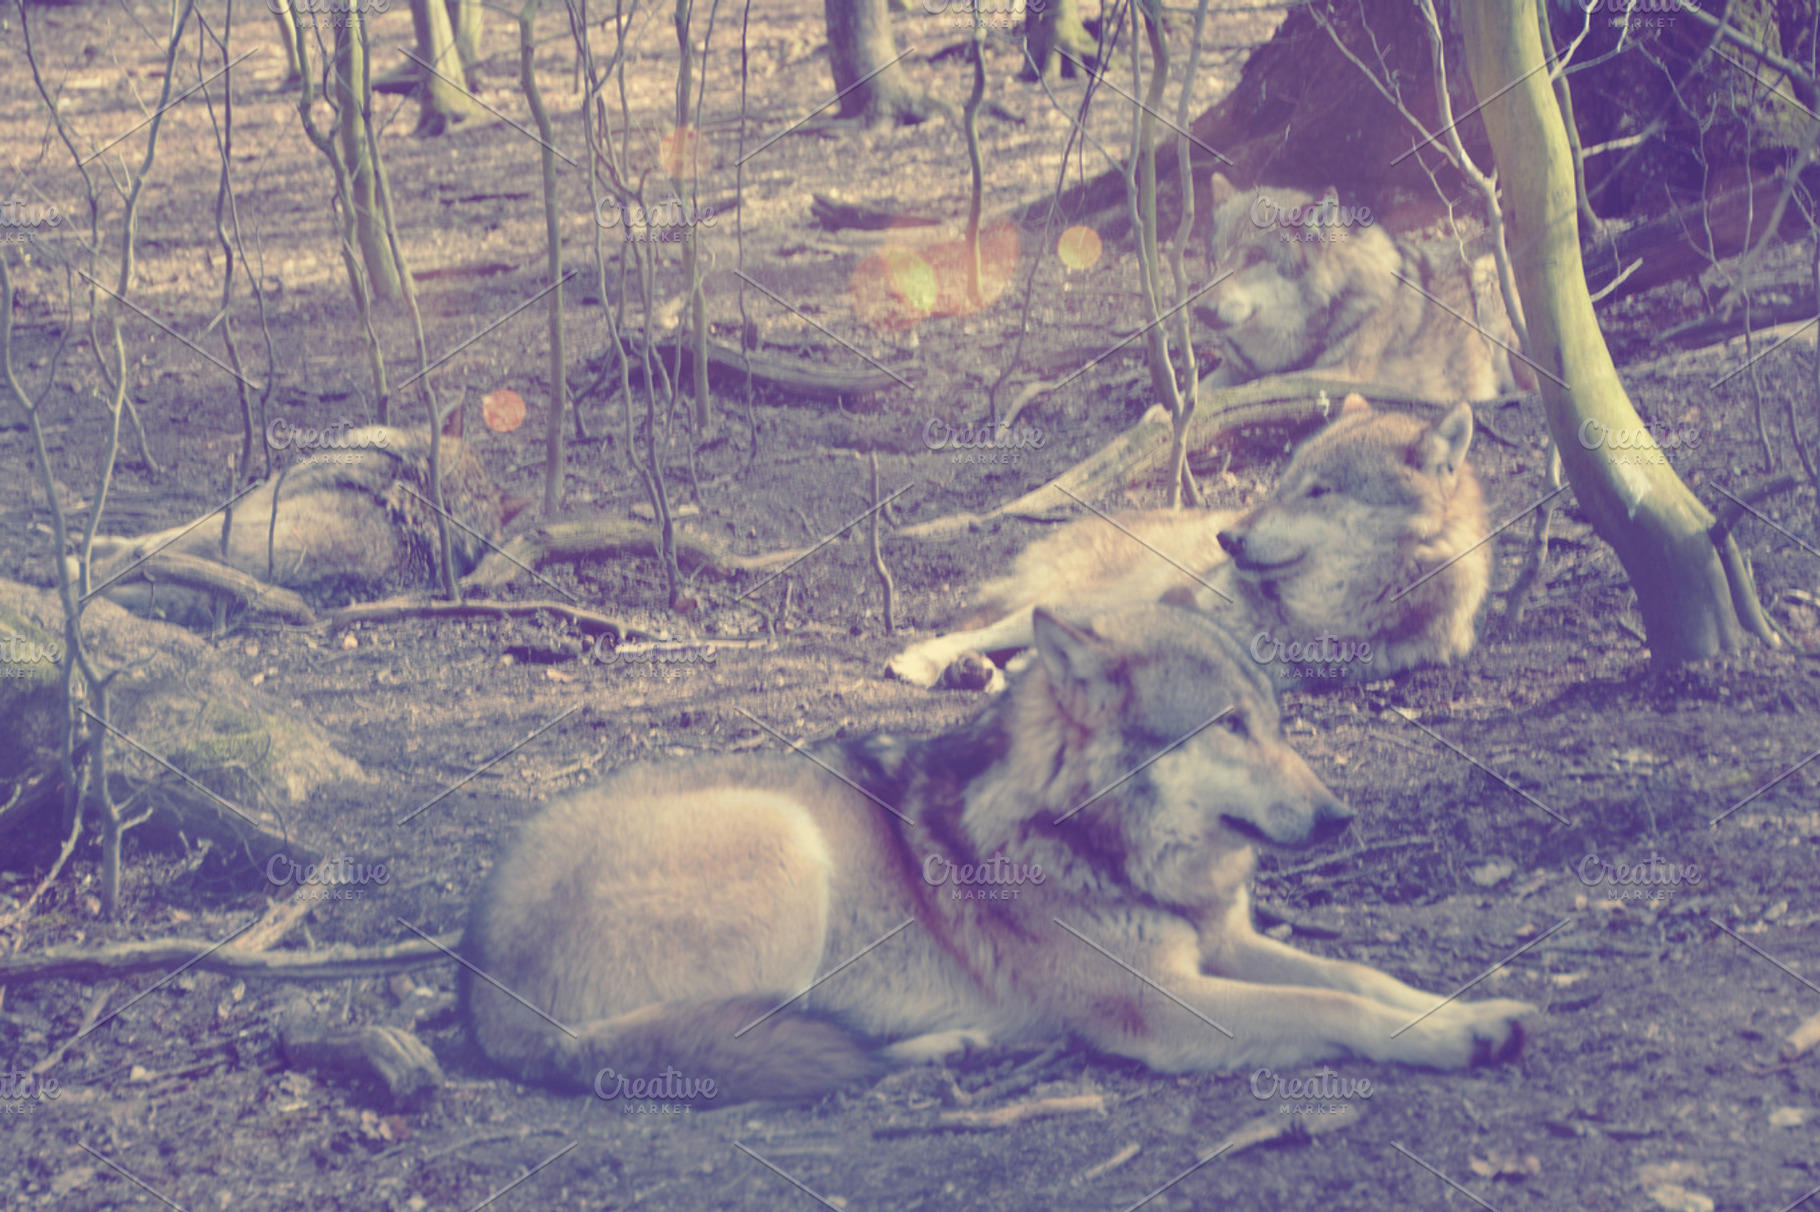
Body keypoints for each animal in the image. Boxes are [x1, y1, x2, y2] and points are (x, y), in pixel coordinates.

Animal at [462, 603, 1535, 1103]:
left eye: (1275, 723)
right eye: (1228, 727)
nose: (1340, 817)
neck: (1088, 843)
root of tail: (482, 984)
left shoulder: (1220, 947)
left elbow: (1363, 977)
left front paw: (1476, 1013)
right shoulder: (1166, 1004)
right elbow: (1334, 1005)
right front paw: (1450, 1040)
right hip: (785, 844)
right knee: (762, 1040)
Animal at [887, 397, 1489, 690]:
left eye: (1320, 492)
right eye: (1284, 484)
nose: (1227, 539)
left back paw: (979, 672)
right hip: (1089, 598)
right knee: (986, 628)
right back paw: (926, 663)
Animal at [1195, 173, 1532, 402]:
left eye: (1255, 258)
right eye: (1214, 261)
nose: (1200, 310)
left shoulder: (1343, 374)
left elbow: (1258, 386)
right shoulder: (1235, 368)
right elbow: (1201, 389)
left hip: (1488, 277)